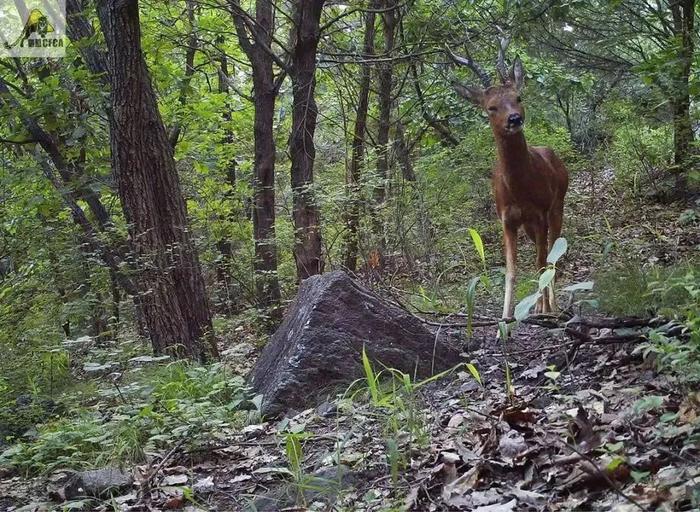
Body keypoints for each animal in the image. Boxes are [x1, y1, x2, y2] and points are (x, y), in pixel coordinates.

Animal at [448, 47, 568, 316]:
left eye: (518, 97)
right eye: (491, 107)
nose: (514, 119)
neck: (519, 189)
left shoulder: (539, 213)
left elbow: (541, 262)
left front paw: (547, 309)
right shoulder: (507, 219)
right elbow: (511, 271)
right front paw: (505, 318)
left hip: (557, 206)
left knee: (552, 255)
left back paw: (551, 305)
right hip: (529, 226)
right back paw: (539, 305)